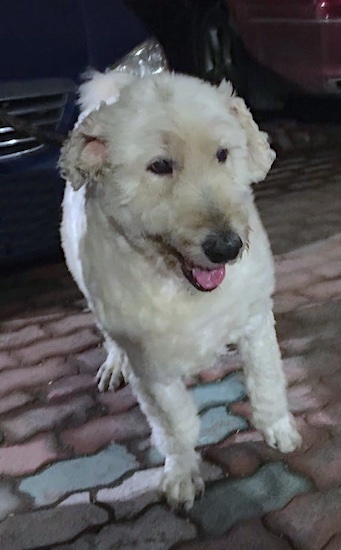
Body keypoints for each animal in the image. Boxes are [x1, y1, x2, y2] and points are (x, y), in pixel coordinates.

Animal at [59, 71, 300, 512]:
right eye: (159, 166)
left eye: (222, 154)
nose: (227, 247)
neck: (181, 285)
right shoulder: (149, 364)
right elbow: (176, 425)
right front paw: (183, 473)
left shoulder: (256, 319)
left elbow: (267, 380)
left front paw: (278, 427)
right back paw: (112, 364)